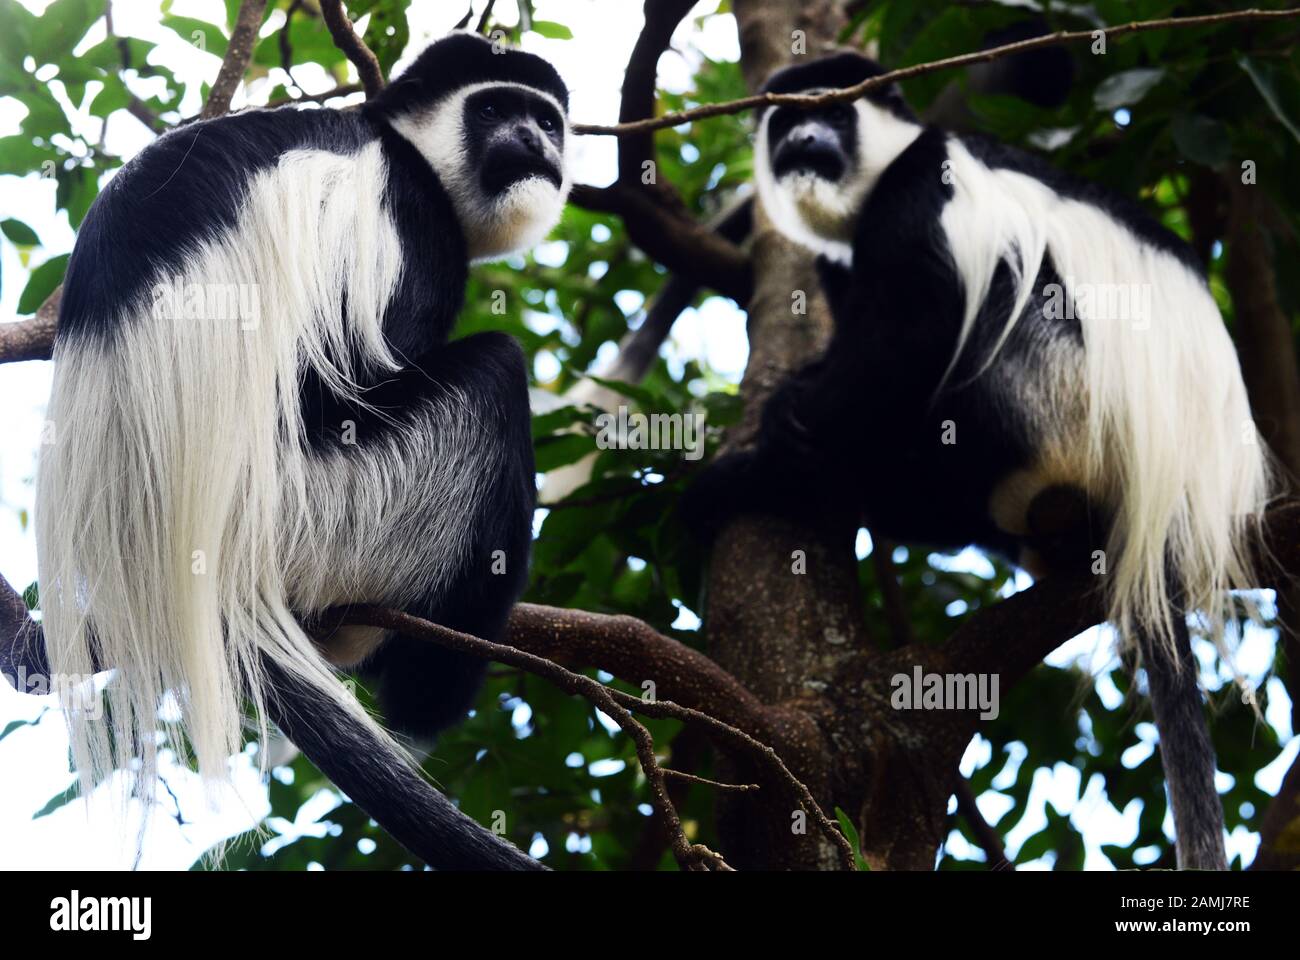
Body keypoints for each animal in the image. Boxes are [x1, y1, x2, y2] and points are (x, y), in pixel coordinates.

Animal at [38, 31, 574, 868]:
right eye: (492, 110)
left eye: (545, 119)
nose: (532, 142)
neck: (398, 142)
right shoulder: (403, 212)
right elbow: (344, 381)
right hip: (329, 513)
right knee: (493, 376)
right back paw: (424, 699)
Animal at [696, 52, 1274, 868]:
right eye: (786, 120)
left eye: (833, 112)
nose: (804, 140)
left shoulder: (922, 189)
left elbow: (919, 313)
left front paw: (770, 445)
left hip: (1058, 394)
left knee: (991, 303)